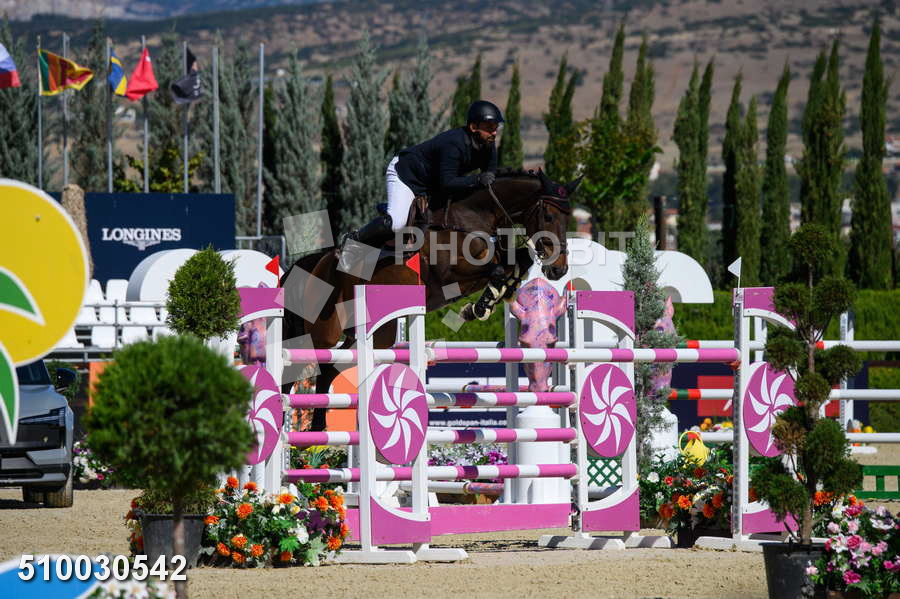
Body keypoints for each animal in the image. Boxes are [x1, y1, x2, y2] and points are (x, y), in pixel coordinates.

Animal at [281, 168, 582, 430]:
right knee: (306, 367)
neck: (469, 219)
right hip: (323, 332)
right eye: (549, 217)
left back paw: (317, 430)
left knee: (330, 368)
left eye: (567, 219)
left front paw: (490, 300)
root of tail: (314, 264)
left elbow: (514, 262)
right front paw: (480, 306)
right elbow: (496, 270)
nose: (559, 270)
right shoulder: (450, 276)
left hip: (372, 333)